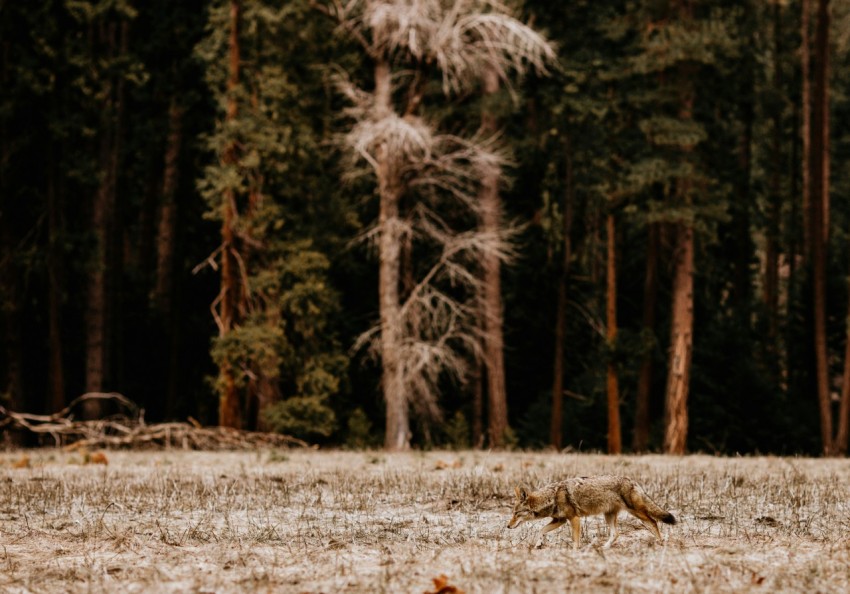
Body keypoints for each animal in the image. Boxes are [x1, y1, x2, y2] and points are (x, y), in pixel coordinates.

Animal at [506, 475, 676, 549]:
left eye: (516, 513)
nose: (508, 526)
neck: (552, 497)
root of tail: (632, 480)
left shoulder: (574, 519)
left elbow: (575, 540)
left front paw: (575, 552)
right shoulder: (560, 520)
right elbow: (541, 530)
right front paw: (539, 544)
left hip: (636, 512)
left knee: (654, 521)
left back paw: (660, 542)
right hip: (609, 516)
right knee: (616, 534)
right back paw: (604, 548)